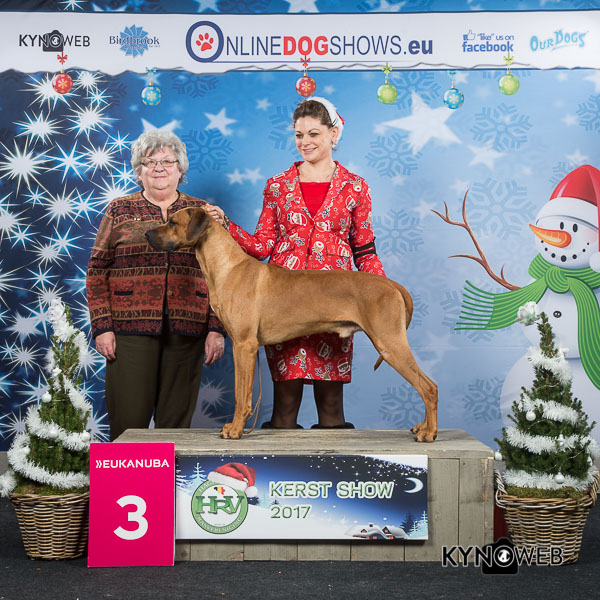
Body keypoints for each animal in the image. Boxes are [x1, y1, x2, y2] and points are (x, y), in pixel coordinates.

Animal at [146, 207, 438, 442]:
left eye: (172, 222)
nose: (147, 234)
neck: (226, 267)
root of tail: (392, 284)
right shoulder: (244, 347)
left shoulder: (244, 346)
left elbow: (241, 395)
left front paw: (236, 429)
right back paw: (423, 427)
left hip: (390, 343)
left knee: (429, 387)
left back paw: (429, 432)